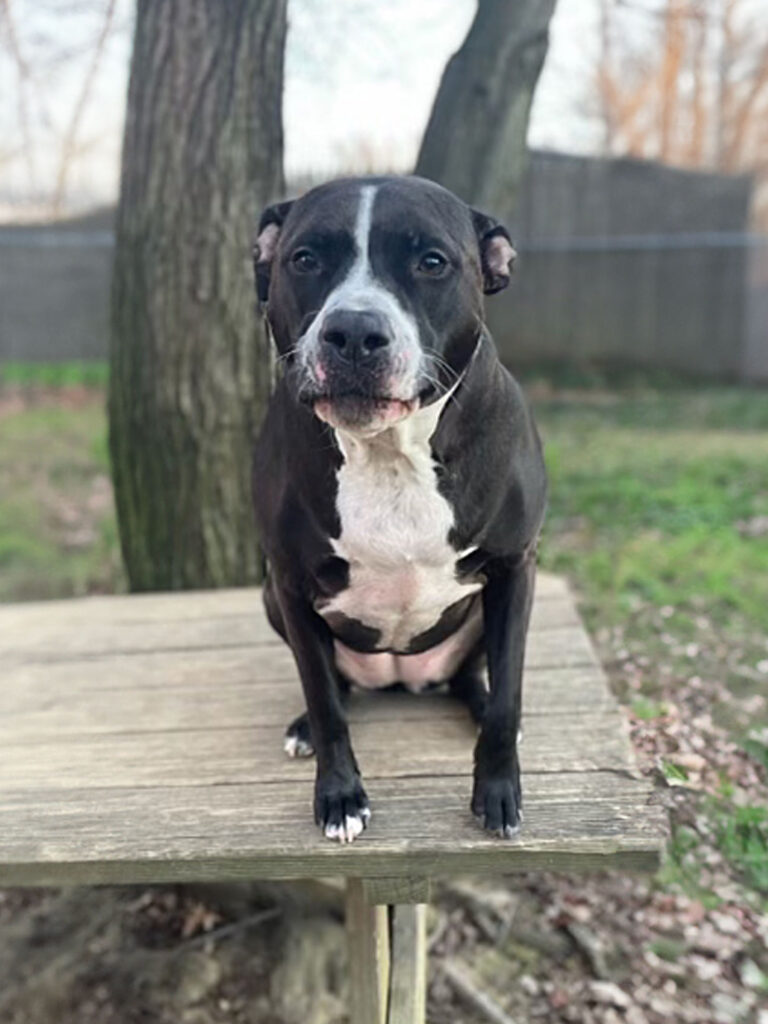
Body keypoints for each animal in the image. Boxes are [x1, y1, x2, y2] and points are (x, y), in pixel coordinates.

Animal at [252, 176, 548, 843]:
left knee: (474, 677)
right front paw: (339, 795)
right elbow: (325, 700)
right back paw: (306, 726)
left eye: (431, 262)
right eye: (304, 258)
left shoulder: (515, 567)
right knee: (336, 685)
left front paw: (497, 790)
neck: (389, 451)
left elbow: (511, 687)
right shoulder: (290, 582)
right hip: (272, 600)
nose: (354, 333)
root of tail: (401, 677)